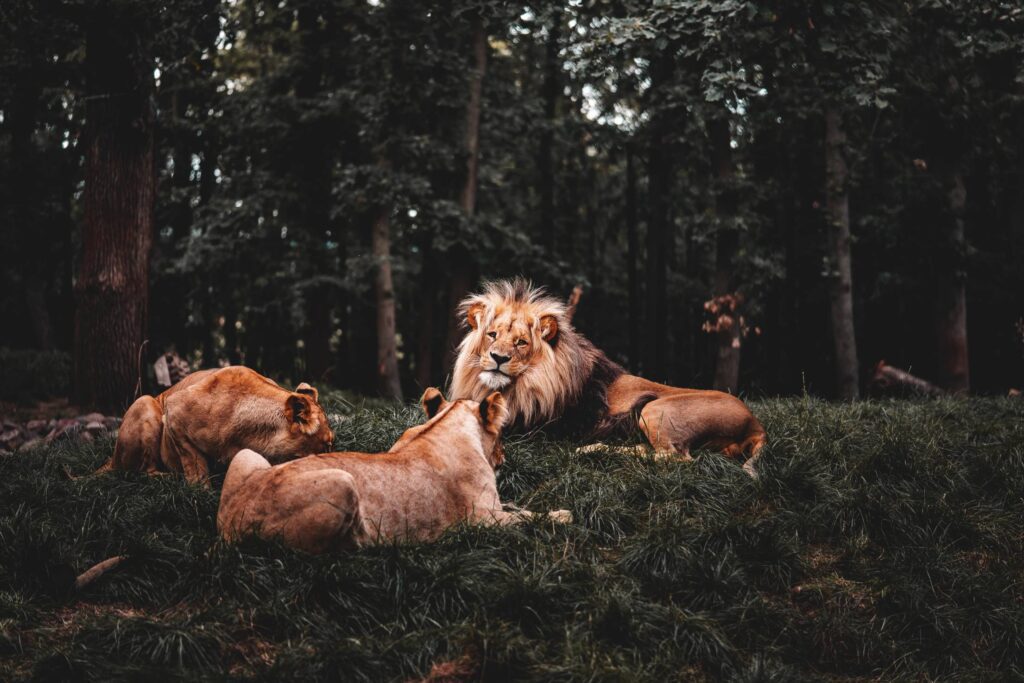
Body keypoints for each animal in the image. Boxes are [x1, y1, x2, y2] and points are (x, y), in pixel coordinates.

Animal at [94, 366, 333, 483]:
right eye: (328, 444)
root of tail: (111, 458)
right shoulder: (174, 412)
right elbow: (196, 467)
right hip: (144, 401)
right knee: (141, 471)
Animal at [217, 387, 573, 552]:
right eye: (500, 434)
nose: (503, 458)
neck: (447, 424)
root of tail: (231, 524)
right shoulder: (483, 522)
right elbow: (528, 518)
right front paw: (563, 515)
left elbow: (520, 508)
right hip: (343, 482)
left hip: (248, 456)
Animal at [452, 278, 765, 475]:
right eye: (492, 335)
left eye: (520, 343)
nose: (498, 358)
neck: (521, 387)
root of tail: (755, 423)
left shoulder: (536, 430)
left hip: (654, 408)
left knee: (675, 458)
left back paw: (593, 451)